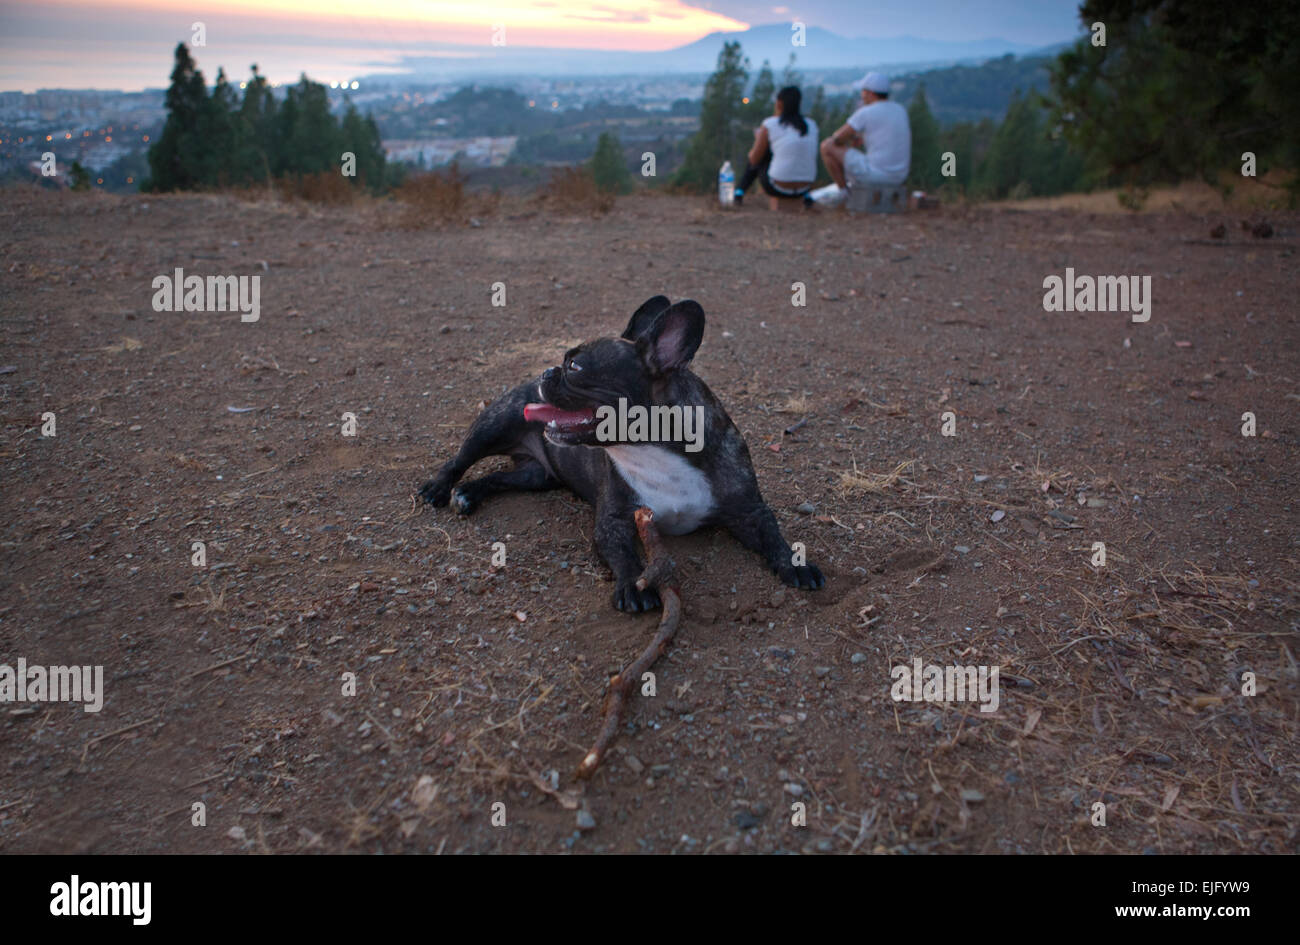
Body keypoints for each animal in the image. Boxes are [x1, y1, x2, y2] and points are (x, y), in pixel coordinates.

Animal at [416, 292, 821, 613]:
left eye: (575, 365)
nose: (548, 370)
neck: (656, 447)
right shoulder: (613, 522)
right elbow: (625, 555)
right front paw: (632, 587)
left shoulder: (749, 510)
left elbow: (774, 536)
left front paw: (796, 564)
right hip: (495, 423)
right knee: (460, 459)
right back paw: (439, 488)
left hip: (536, 476)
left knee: (502, 477)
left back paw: (469, 493)